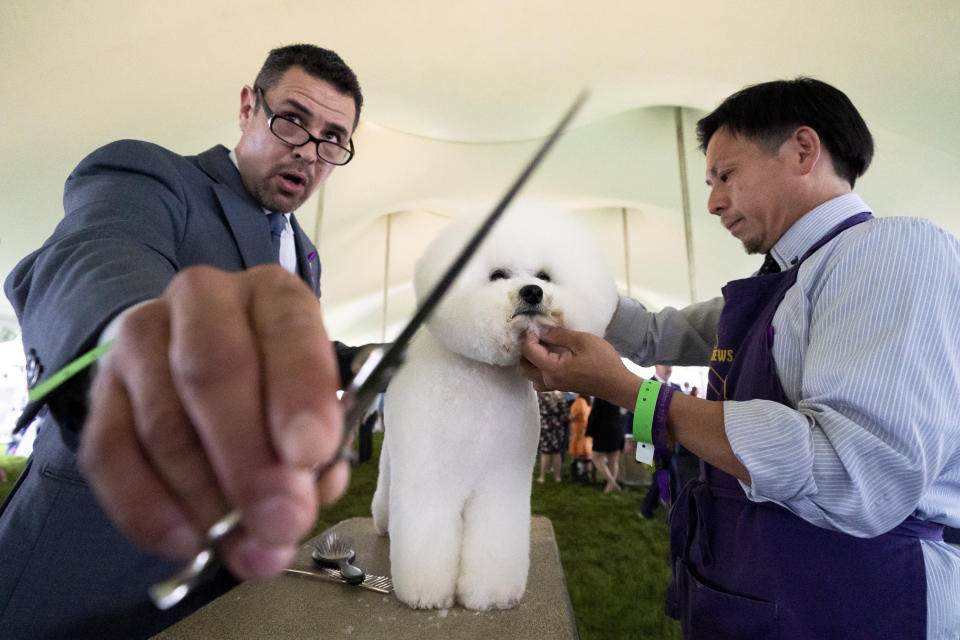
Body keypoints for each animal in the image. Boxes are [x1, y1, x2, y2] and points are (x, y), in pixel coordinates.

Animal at [372, 204, 620, 608]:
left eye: (544, 275)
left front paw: (489, 595)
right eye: (498, 275)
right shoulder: (429, 478)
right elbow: (426, 535)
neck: (481, 380)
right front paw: (426, 593)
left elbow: (494, 537)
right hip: (395, 459)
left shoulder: (502, 481)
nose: (532, 292)